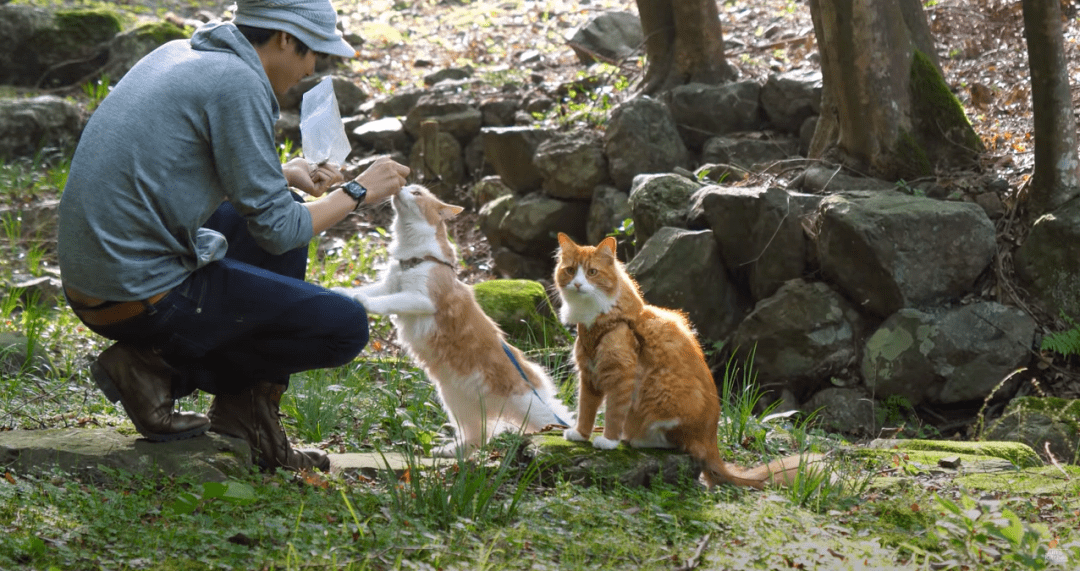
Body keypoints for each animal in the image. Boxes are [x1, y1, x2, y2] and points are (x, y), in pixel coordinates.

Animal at [334, 184, 574, 455]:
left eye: (416, 192)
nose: (401, 187)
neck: (413, 256)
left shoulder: (420, 299)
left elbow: (385, 302)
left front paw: (363, 302)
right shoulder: (388, 285)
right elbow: (367, 290)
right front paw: (342, 292)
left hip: (527, 406)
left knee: (552, 423)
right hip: (455, 402)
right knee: (478, 437)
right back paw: (452, 452)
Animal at [552, 234, 812, 487]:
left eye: (592, 272)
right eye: (571, 270)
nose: (577, 283)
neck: (597, 320)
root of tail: (711, 442)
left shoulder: (621, 374)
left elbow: (614, 413)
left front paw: (608, 441)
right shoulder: (589, 375)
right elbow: (586, 409)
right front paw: (580, 434)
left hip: (663, 398)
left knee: (680, 445)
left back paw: (636, 440)